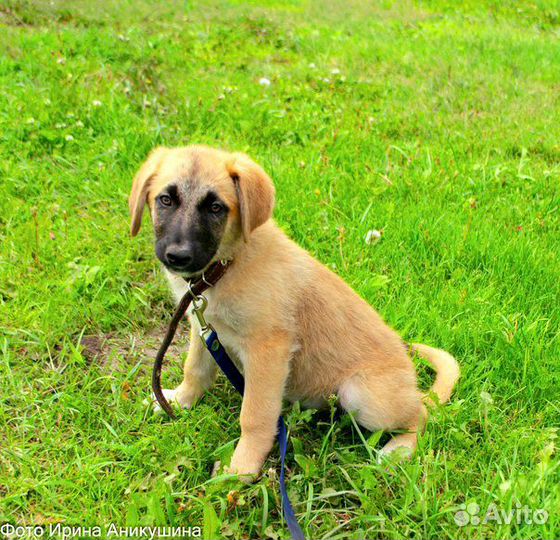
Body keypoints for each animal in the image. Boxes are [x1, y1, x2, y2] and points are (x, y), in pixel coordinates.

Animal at [130, 146, 460, 478]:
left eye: (215, 208)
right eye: (165, 200)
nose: (178, 256)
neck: (227, 265)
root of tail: (412, 384)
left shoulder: (268, 350)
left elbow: (255, 415)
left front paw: (240, 469)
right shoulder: (204, 328)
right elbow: (195, 370)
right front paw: (179, 400)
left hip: (362, 395)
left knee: (421, 413)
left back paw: (398, 449)